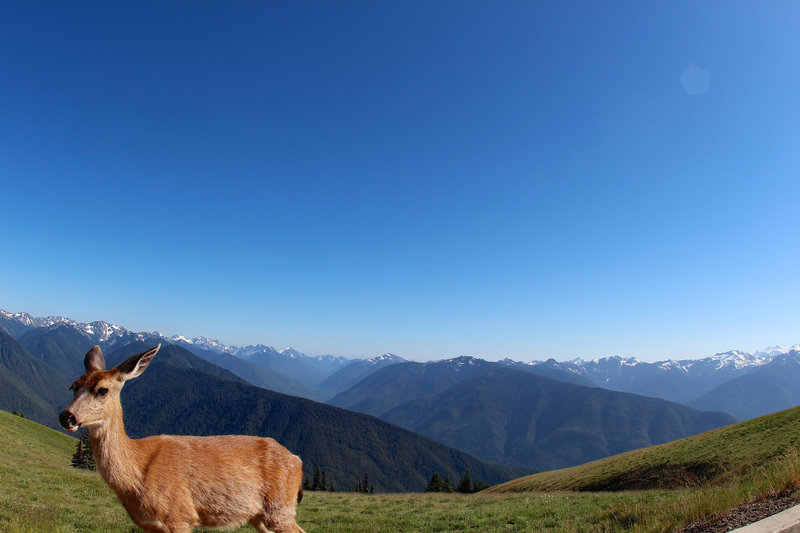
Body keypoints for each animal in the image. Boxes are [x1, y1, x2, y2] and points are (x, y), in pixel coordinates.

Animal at [59, 344, 306, 532]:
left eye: (102, 390)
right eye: (73, 386)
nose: (67, 416)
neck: (138, 473)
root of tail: (297, 460)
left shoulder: (179, 516)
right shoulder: (150, 526)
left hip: (279, 508)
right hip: (259, 516)